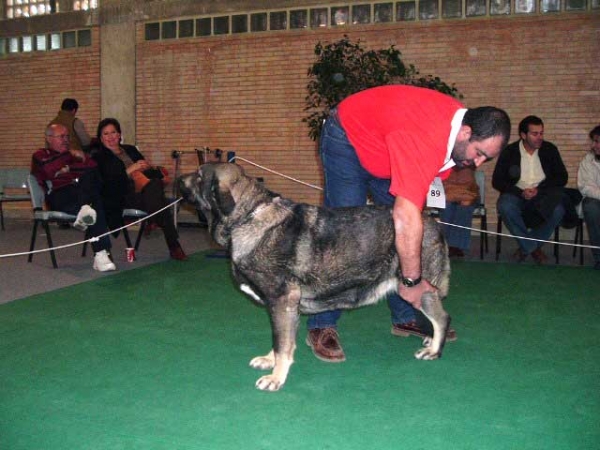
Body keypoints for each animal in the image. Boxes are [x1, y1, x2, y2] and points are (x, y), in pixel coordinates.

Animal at [178, 163, 450, 390]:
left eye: (199, 175)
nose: (178, 179)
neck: (248, 217)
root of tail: (432, 222)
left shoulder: (282, 301)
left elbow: (282, 343)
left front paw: (276, 378)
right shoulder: (284, 307)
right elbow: (279, 341)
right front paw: (269, 360)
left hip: (417, 288)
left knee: (442, 318)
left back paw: (434, 349)